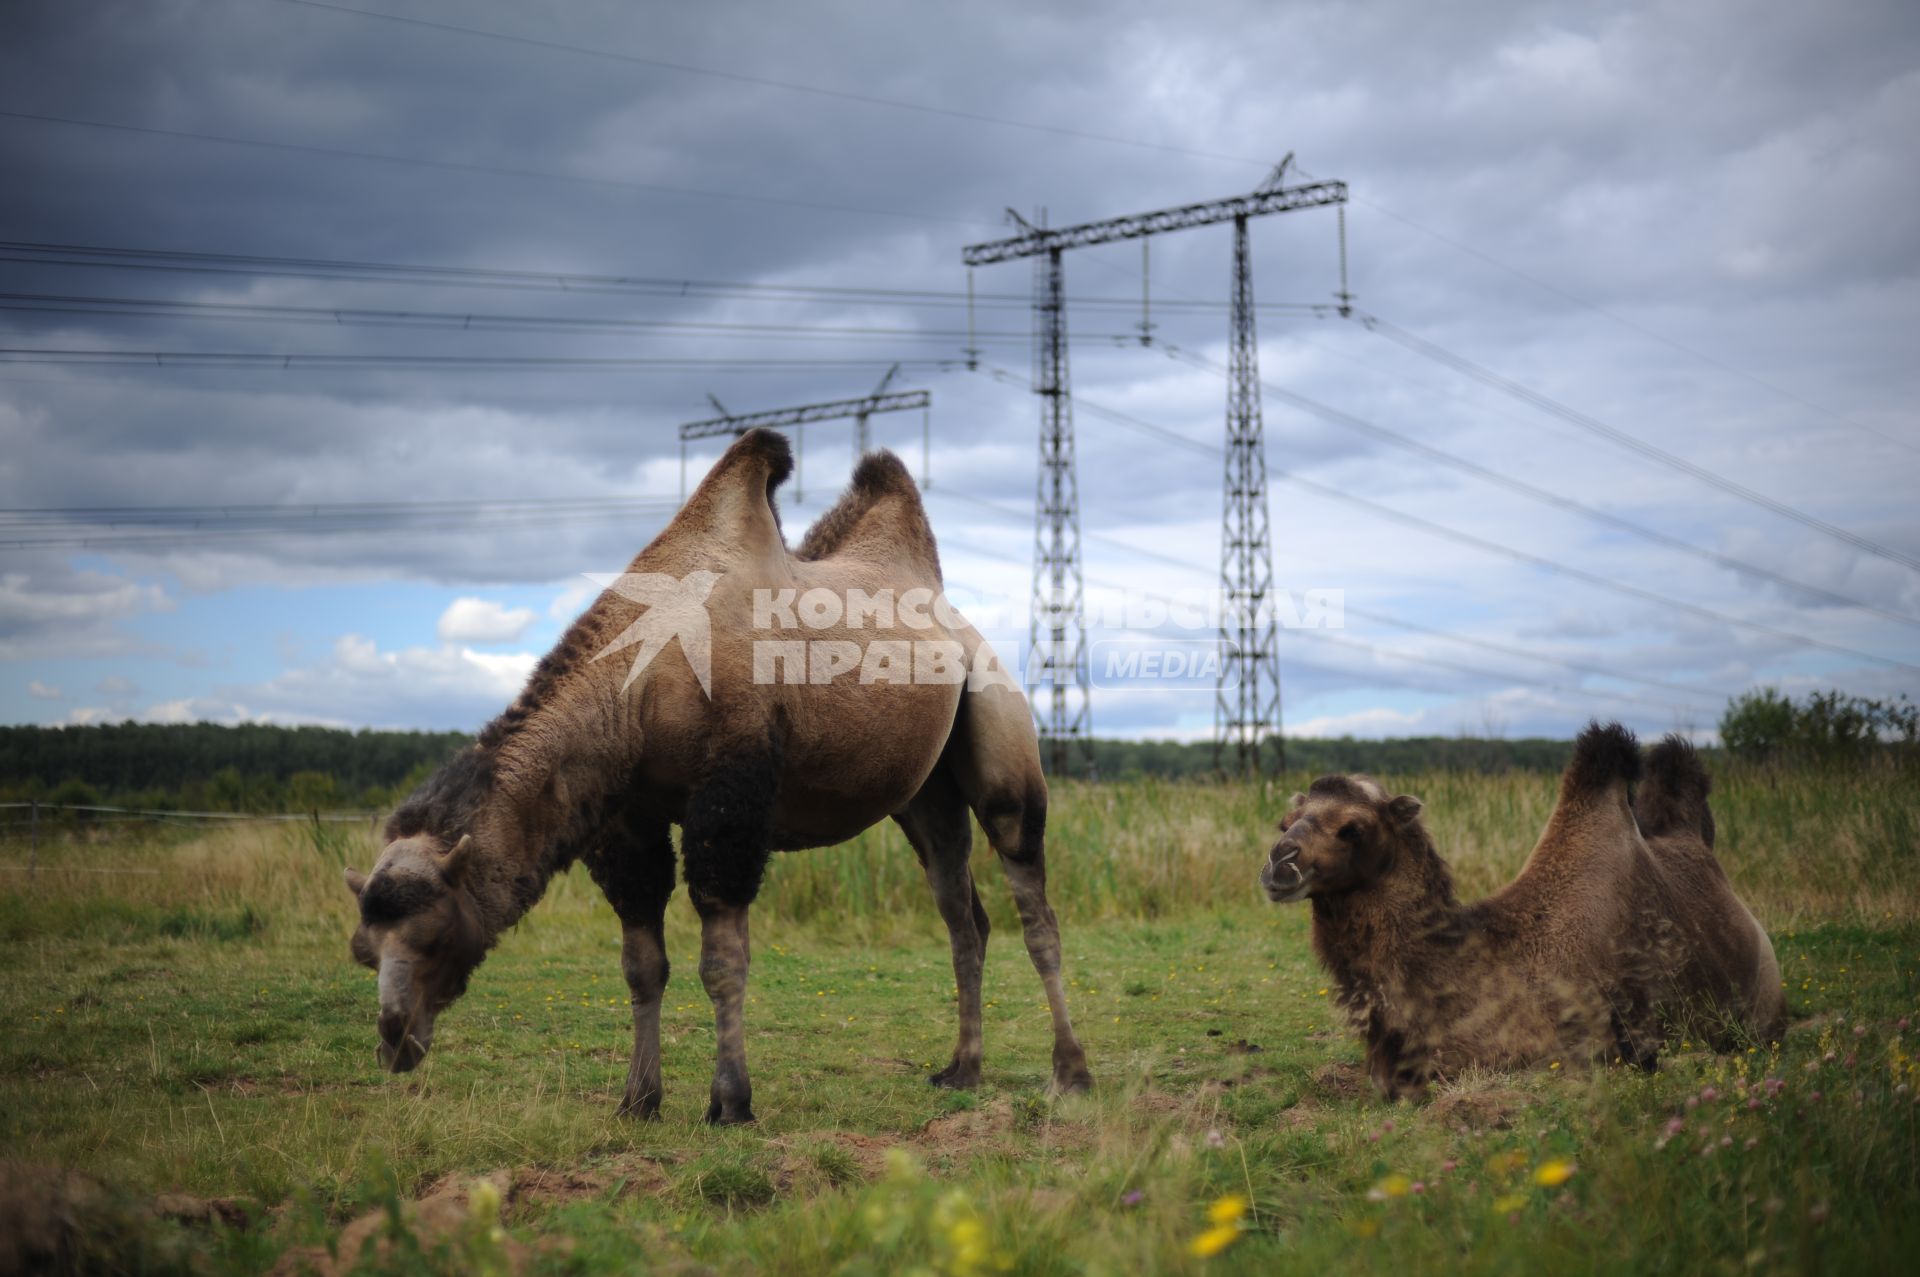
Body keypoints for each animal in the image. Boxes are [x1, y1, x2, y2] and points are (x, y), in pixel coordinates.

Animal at [347, 430, 1098, 1129]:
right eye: (363, 949)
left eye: (432, 935)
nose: (393, 1042)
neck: (639, 683)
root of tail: (957, 622)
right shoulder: (629, 814)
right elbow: (642, 963)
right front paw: (638, 1100)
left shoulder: (730, 796)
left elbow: (722, 961)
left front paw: (730, 1102)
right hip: (924, 795)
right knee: (961, 912)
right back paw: (961, 1068)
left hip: (1000, 731)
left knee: (1034, 906)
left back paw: (1070, 1073)